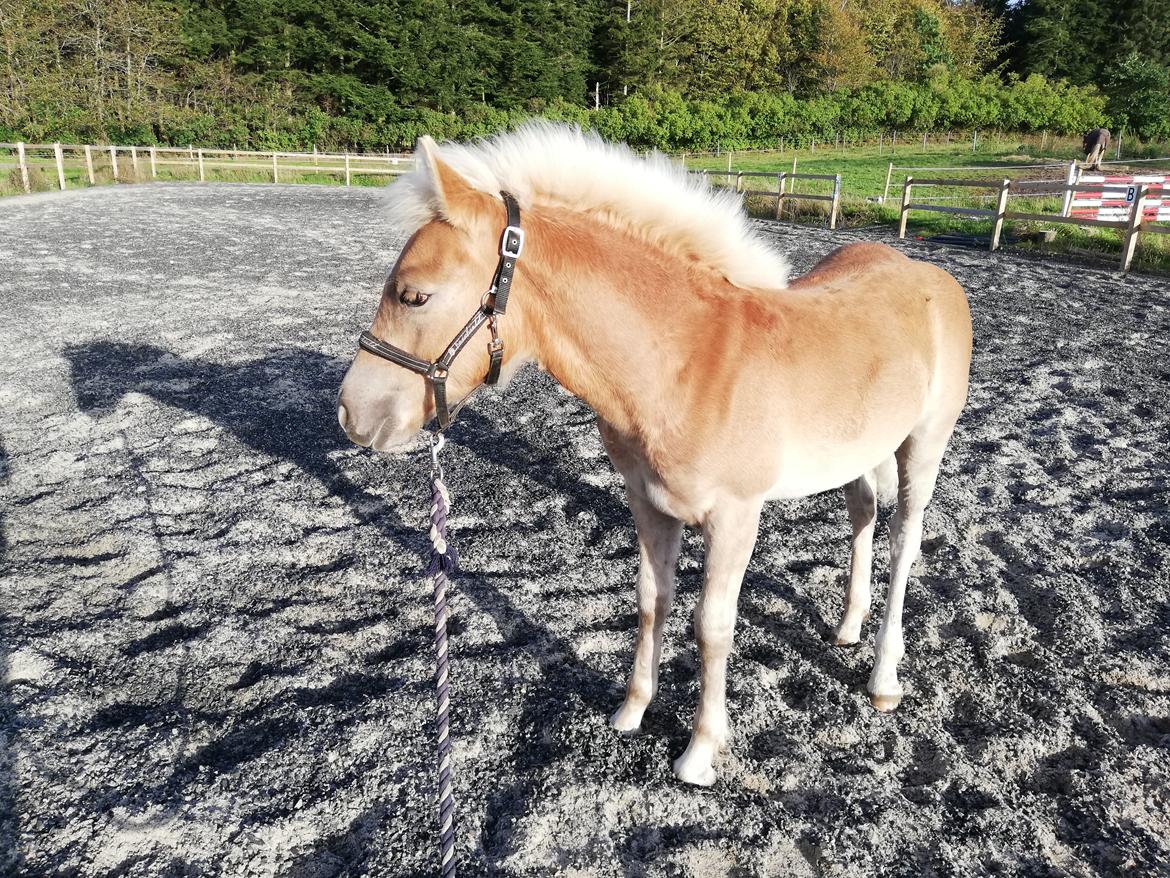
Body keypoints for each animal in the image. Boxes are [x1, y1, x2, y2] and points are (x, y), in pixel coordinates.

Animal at [334, 122, 973, 782]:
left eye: (414, 296)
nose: (352, 414)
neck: (685, 363)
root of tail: (926, 273)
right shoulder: (648, 503)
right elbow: (650, 601)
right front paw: (632, 711)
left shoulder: (735, 517)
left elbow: (712, 626)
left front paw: (701, 751)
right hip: (858, 453)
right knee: (863, 517)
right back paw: (847, 627)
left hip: (923, 448)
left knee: (903, 544)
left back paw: (883, 679)